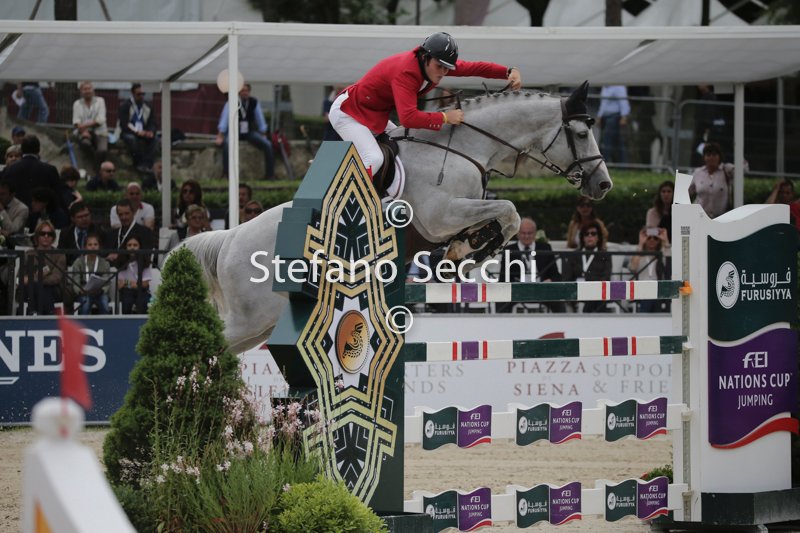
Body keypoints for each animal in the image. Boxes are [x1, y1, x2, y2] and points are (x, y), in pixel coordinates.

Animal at [182, 82, 612, 353]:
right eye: (580, 133)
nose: (604, 184)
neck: (468, 147)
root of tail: (229, 239)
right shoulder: (440, 215)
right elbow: (509, 211)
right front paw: (465, 252)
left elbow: (506, 217)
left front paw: (464, 251)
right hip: (250, 318)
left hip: (265, 322)